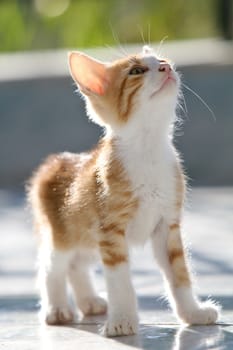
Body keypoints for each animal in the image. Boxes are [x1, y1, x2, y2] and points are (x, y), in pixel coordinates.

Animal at [28, 45, 219, 336]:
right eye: (136, 71)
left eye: (162, 59)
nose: (166, 67)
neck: (148, 149)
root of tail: (54, 162)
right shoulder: (110, 230)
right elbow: (120, 280)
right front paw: (122, 320)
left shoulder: (167, 225)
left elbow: (179, 273)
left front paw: (192, 313)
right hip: (64, 234)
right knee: (52, 267)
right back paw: (57, 308)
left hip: (87, 238)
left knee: (77, 266)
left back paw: (89, 301)